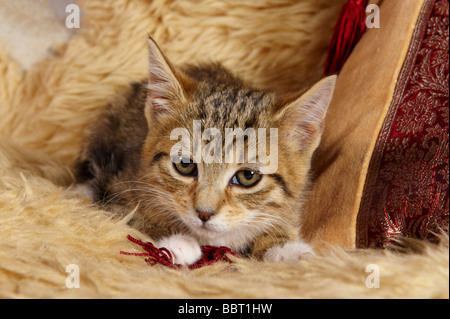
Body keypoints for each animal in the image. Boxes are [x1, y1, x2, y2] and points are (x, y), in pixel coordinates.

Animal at [74, 37, 334, 264]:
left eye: (247, 176)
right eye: (184, 165)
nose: (204, 213)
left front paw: (284, 247)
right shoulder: (120, 185)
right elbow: (129, 215)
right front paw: (176, 240)